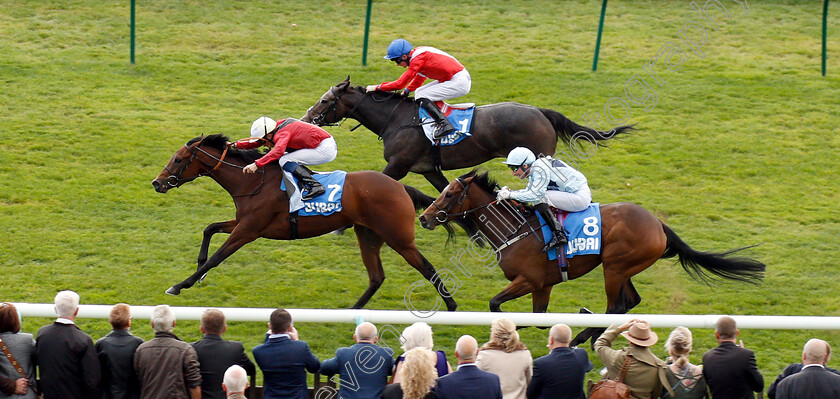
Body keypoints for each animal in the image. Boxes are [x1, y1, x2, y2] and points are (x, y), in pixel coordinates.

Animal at [148, 134, 456, 312]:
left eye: (178, 159)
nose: (157, 183)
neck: (253, 181)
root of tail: (401, 186)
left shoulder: (248, 230)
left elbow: (218, 257)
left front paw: (181, 284)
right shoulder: (243, 222)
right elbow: (209, 228)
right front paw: (198, 270)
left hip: (398, 237)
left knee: (426, 267)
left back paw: (452, 306)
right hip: (368, 234)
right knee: (376, 276)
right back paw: (352, 313)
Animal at [298, 78, 632, 194]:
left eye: (325, 101)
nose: (305, 119)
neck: (396, 119)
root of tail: (539, 111)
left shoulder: (397, 166)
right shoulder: (428, 169)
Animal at [416, 170, 764, 346]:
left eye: (450, 194)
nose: (424, 218)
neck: (514, 228)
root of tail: (657, 224)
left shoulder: (529, 279)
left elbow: (495, 305)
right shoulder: (543, 285)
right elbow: (538, 318)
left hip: (615, 266)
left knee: (616, 307)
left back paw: (585, 333)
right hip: (623, 269)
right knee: (630, 301)